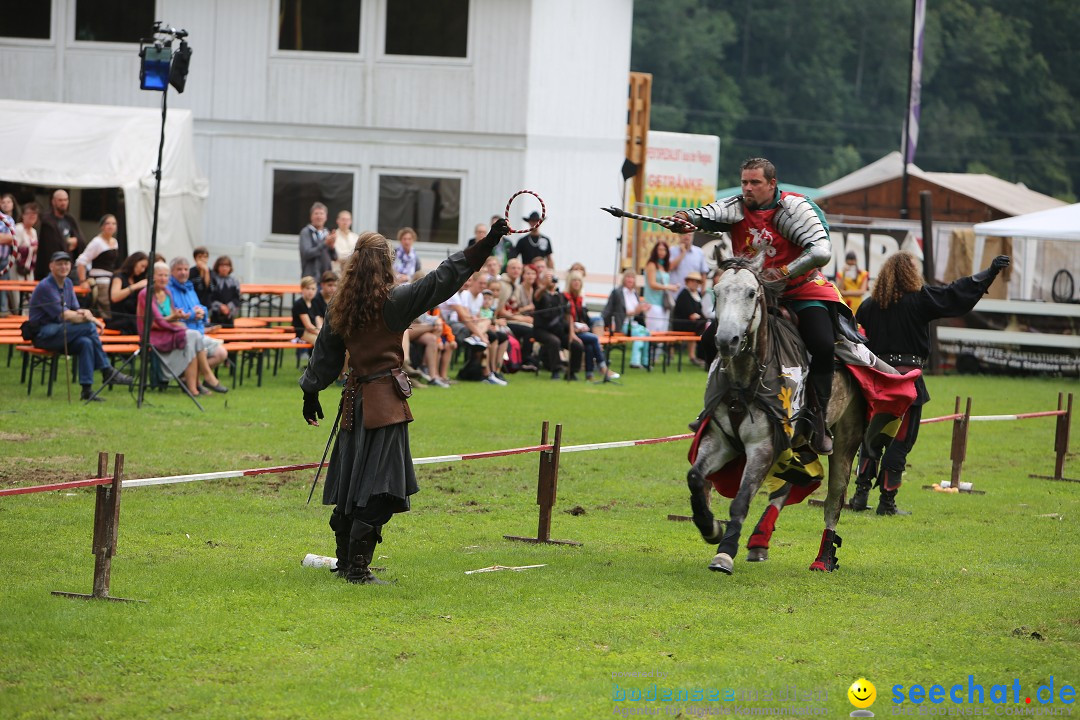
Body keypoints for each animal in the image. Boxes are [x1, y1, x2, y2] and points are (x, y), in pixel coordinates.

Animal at [686, 253, 864, 574]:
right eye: (716, 292)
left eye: (751, 293)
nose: (726, 341)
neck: (745, 378)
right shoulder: (721, 440)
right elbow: (695, 477)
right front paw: (711, 528)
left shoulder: (762, 446)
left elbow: (741, 499)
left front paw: (724, 553)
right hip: (796, 443)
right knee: (790, 484)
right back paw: (759, 540)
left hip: (844, 440)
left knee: (833, 501)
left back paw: (823, 558)